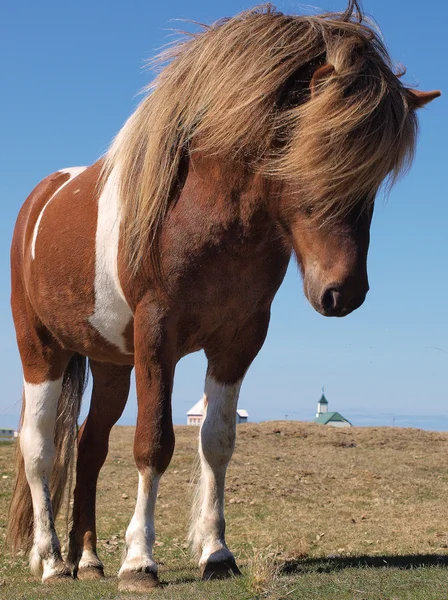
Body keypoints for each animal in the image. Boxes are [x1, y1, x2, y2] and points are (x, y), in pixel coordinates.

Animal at [7, 0, 440, 592]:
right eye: (314, 154)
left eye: (374, 178)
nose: (343, 293)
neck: (203, 209)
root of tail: (40, 198)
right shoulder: (157, 338)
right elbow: (153, 443)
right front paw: (140, 562)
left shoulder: (238, 340)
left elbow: (217, 441)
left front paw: (215, 553)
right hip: (42, 351)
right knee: (39, 448)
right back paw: (52, 561)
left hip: (112, 361)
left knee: (91, 446)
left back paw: (88, 559)